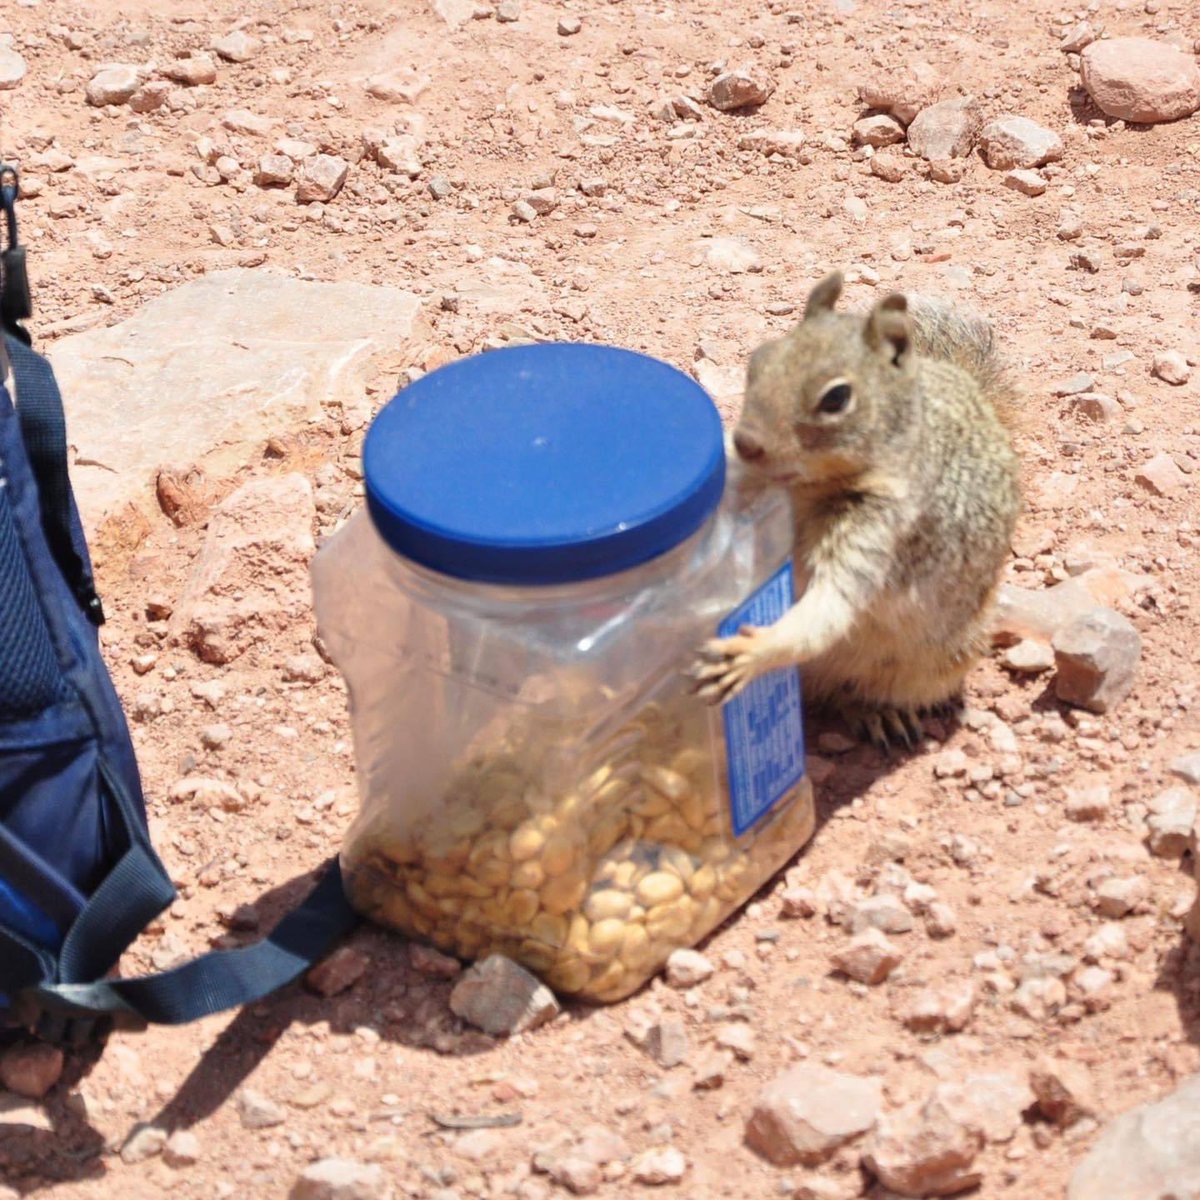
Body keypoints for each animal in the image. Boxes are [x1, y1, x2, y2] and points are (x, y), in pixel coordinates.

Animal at [690, 270, 1021, 750]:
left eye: (836, 398)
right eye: (758, 360)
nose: (745, 442)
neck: (806, 489)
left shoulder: (879, 530)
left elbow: (830, 608)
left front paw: (753, 652)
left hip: (937, 664)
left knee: (851, 693)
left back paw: (880, 713)